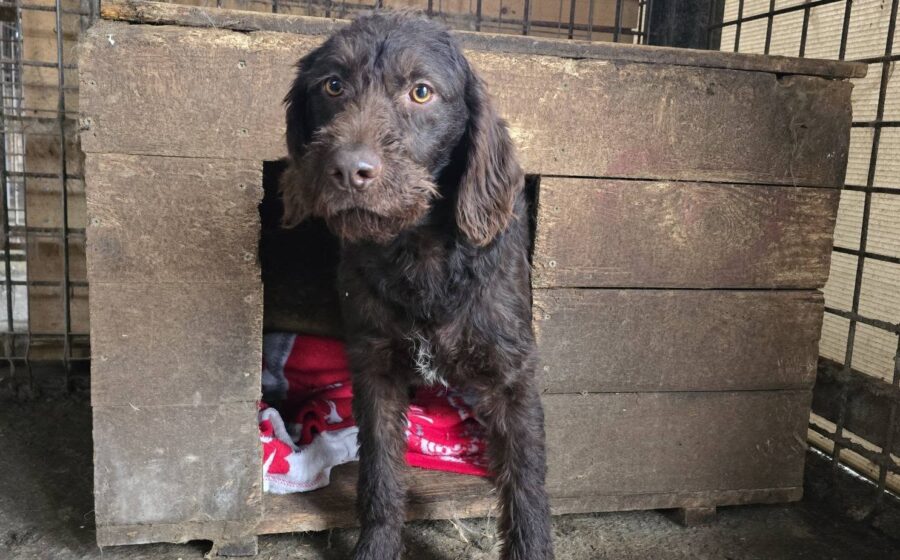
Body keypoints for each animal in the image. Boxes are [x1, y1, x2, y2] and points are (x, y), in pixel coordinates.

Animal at [280, 11, 553, 560]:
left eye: (421, 91)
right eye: (333, 85)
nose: (350, 170)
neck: (420, 251)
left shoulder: (513, 372)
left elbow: (526, 481)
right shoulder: (375, 367)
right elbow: (380, 473)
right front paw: (377, 546)